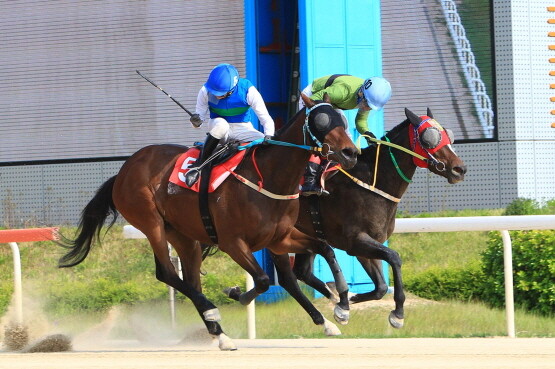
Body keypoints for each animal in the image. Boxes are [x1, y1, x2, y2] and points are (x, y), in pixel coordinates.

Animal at [58, 93, 358, 350]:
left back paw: (220, 334)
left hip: (183, 235)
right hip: (151, 223)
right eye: (322, 121)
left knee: (190, 278)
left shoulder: (279, 238)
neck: (267, 178)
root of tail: (124, 170)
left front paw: (341, 306)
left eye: (343, 119)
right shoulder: (232, 242)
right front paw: (236, 294)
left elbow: (324, 250)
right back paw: (212, 313)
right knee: (168, 273)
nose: (350, 153)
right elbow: (262, 280)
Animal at [294, 107, 466, 328]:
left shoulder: (368, 243)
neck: (372, 183)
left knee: (302, 271)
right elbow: (394, 257)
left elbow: (381, 287)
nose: (459, 169)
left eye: (448, 135)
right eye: (429, 138)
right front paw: (397, 314)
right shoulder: (355, 241)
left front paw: (349, 300)